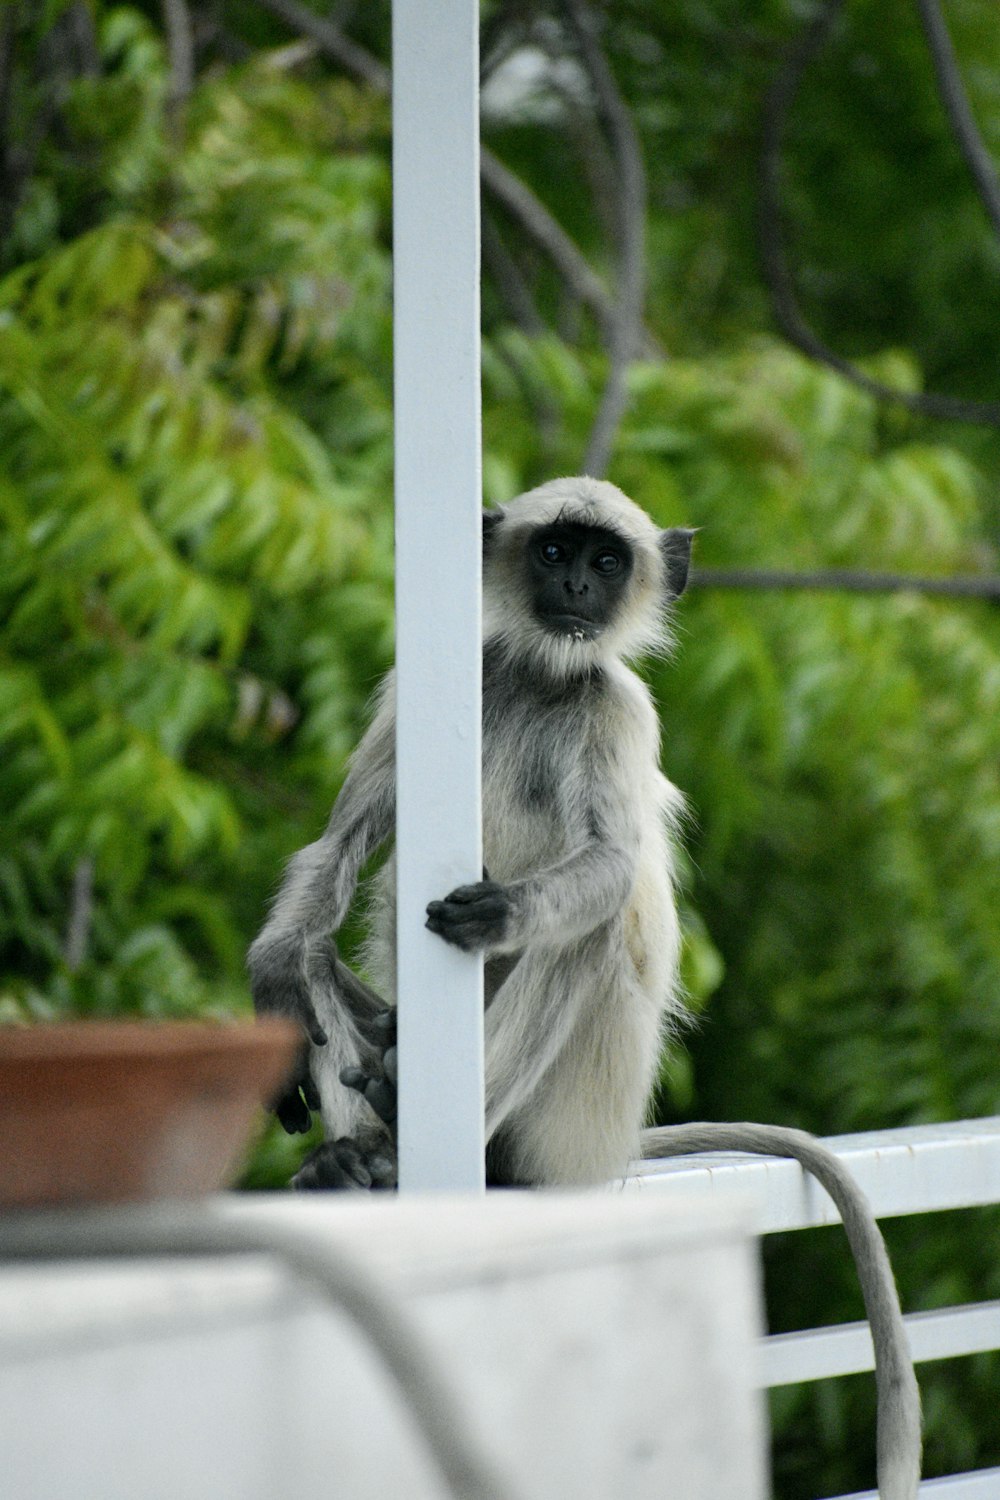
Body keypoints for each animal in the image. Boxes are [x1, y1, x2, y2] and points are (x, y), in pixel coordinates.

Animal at [250, 474, 695, 1188]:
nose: (576, 586)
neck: (539, 677)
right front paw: (271, 968)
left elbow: (613, 862)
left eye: (606, 562)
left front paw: (502, 911)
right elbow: (338, 845)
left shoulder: (620, 711)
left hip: (577, 1122)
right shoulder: (417, 692)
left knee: (592, 931)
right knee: (311, 950)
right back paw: (352, 1153)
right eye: (553, 551)